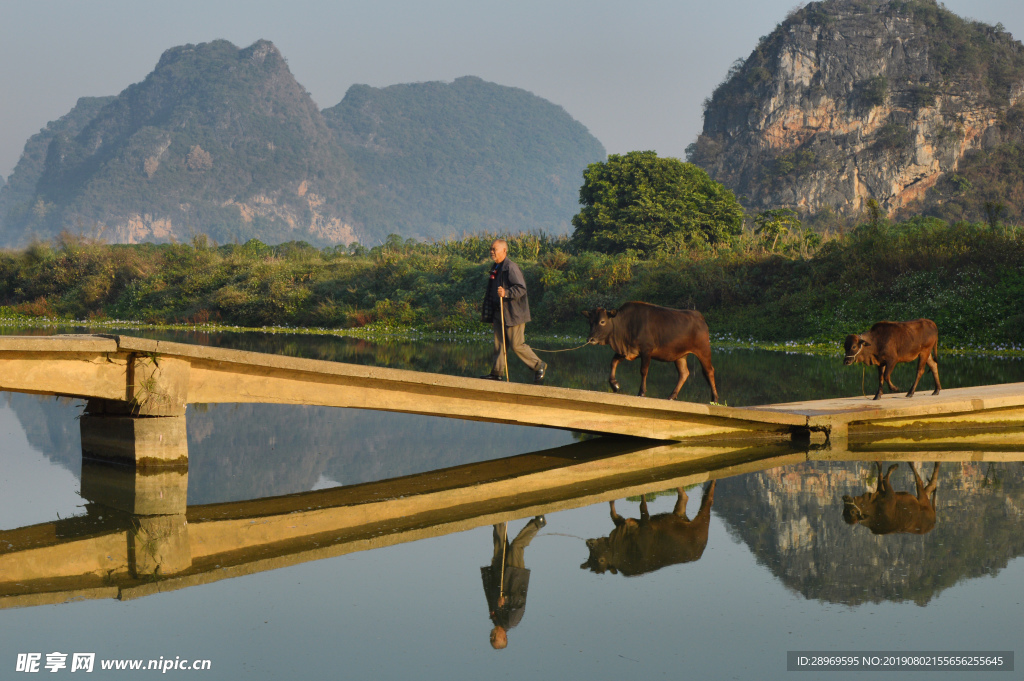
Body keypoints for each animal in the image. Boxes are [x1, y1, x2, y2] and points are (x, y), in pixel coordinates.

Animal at [581, 481, 716, 577]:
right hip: (680, 513)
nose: (589, 542)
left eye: (601, 560)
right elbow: (613, 512)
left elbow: (642, 506)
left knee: (708, 500)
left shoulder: (645, 527)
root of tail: (699, 552)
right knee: (684, 496)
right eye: (590, 555)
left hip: (702, 523)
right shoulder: (624, 523)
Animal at [585, 301, 720, 401]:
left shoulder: (646, 350)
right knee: (684, 373)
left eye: (602, 321)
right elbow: (613, 362)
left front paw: (641, 392)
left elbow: (643, 371)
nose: (590, 339)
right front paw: (614, 384)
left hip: (703, 349)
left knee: (709, 371)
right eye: (590, 322)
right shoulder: (626, 351)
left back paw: (714, 398)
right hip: (680, 355)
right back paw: (672, 396)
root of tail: (699, 316)